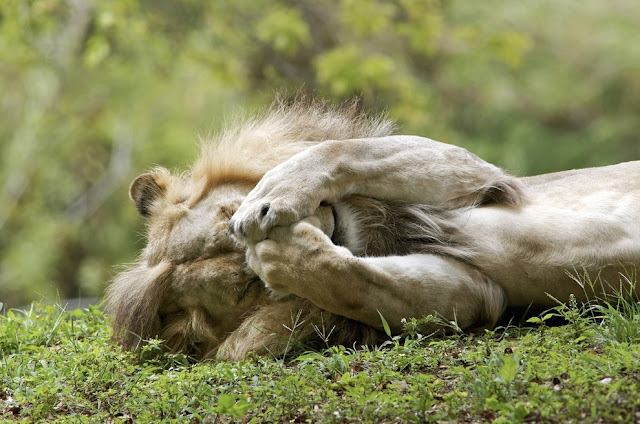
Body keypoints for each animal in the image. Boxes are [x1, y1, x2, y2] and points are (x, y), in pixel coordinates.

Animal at [106, 99, 640, 362]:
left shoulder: (479, 173)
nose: (317, 223)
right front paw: (290, 256)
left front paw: (274, 195)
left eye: (231, 215)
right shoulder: (477, 291)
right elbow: (356, 283)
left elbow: (343, 150)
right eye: (244, 288)